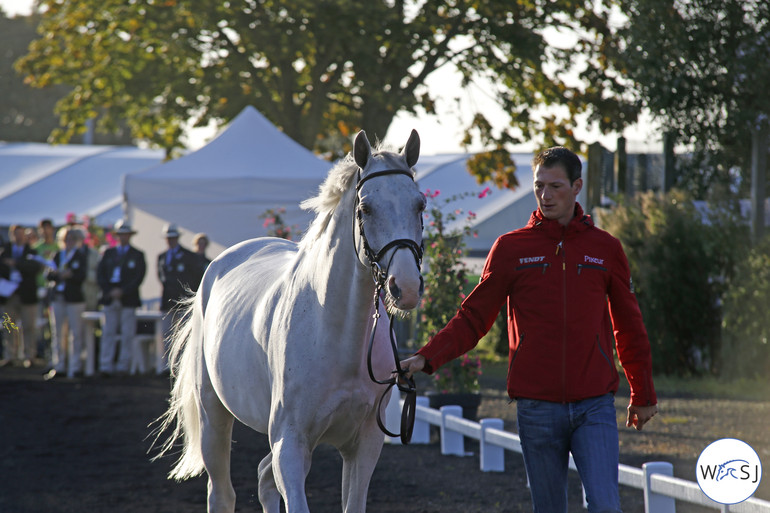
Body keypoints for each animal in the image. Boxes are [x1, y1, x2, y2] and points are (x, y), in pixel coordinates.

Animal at [152, 129, 424, 512]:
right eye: (365, 208)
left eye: (420, 205)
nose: (407, 287)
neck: (338, 336)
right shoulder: (291, 444)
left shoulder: (364, 444)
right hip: (213, 417)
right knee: (222, 492)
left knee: (264, 480)